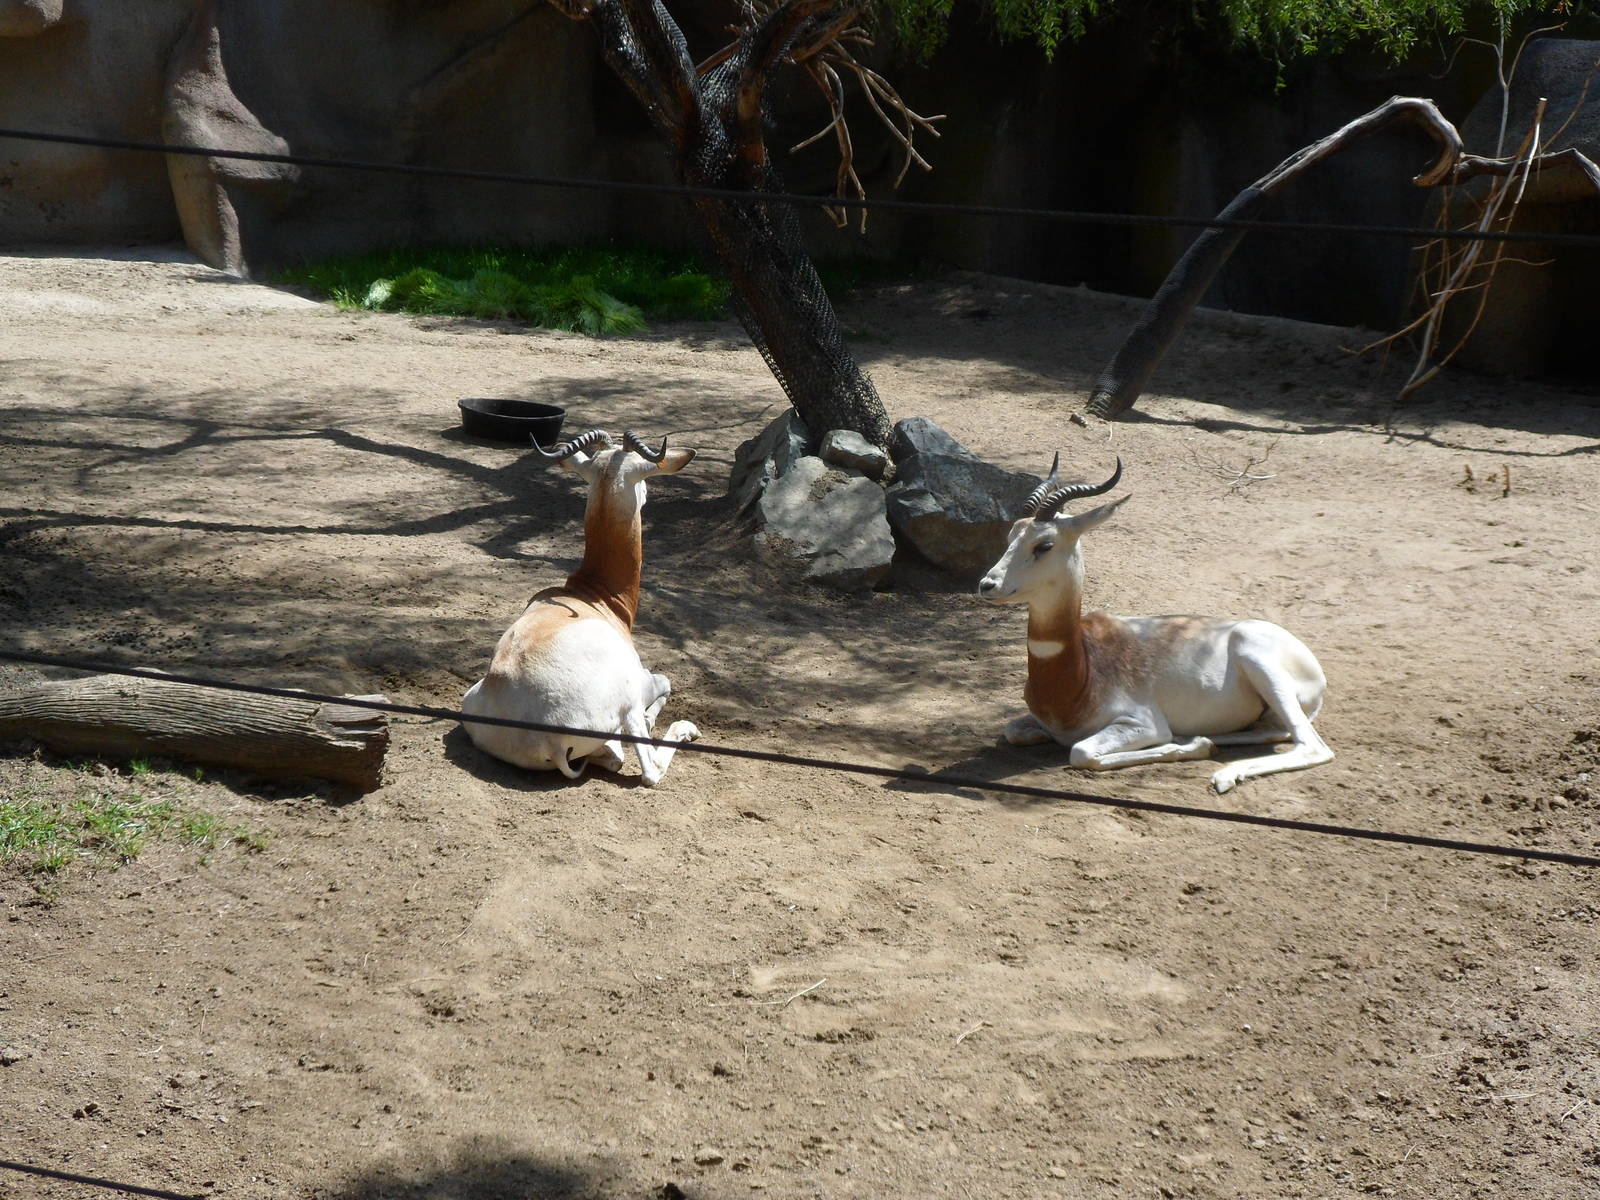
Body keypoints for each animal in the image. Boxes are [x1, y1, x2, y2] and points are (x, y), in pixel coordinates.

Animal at [460, 429, 700, 785]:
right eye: (644, 479)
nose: (647, 496)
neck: (592, 595)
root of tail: (544, 737)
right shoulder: (642, 680)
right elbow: (666, 682)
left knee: (614, 757)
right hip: (629, 703)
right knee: (647, 770)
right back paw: (685, 729)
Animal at [977, 456, 1332, 792]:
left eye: (1044, 545)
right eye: (1011, 535)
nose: (987, 585)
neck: (1080, 668)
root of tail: (1311, 664)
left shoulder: (1142, 723)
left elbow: (1081, 753)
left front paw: (1188, 747)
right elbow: (1011, 730)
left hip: (1261, 665)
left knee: (1311, 746)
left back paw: (1223, 773)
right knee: (1273, 732)